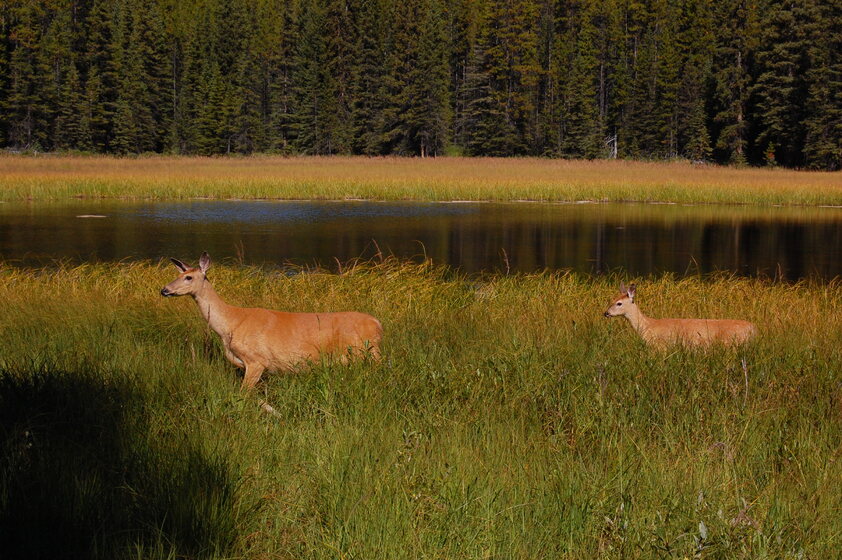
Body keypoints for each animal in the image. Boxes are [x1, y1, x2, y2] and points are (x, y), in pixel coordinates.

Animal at [160, 252, 383, 390]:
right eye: (179, 273)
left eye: (189, 277)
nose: (164, 289)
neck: (230, 324)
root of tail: (377, 323)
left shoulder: (257, 360)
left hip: (368, 353)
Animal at [603, 282, 757, 348]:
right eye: (612, 299)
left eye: (619, 303)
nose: (606, 313)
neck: (647, 326)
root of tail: (753, 329)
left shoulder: (660, 345)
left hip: (731, 343)